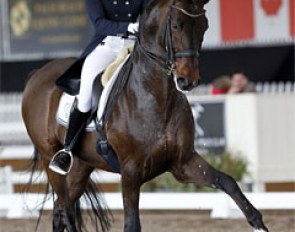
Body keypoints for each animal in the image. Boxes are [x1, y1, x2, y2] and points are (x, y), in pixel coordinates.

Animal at [22, 0, 270, 232]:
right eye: (176, 26)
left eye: (204, 27)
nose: (187, 80)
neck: (155, 96)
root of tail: (37, 74)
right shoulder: (131, 171)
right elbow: (132, 224)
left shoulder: (183, 162)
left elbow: (227, 182)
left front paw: (258, 223)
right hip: (50, 158)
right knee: (64, 208)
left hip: (82, 166)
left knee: (61, 210)